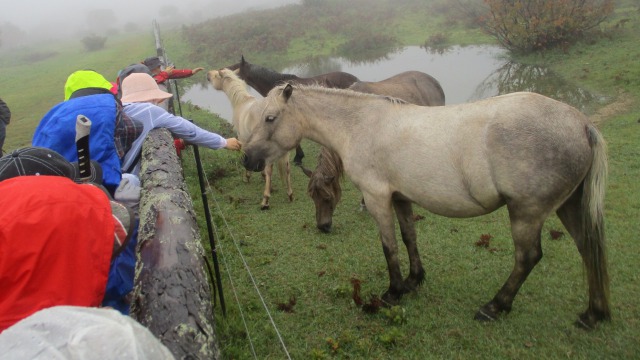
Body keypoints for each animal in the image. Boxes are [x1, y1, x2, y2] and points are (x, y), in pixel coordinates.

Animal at [206, 68, 294, 210]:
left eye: (216, 75)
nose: (208, 74)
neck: (242, 102)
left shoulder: (243, 139)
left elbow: (245, 156)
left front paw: (247, 176)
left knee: (270, 169)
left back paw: (265, 200)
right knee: (287, 169)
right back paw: (290, 194)